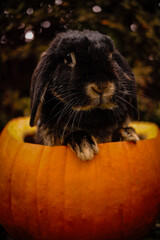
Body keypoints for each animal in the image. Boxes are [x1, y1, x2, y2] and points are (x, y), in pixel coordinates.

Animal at [29, 30, 139, 161]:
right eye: (68, 57)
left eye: (111, 55)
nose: (101, 86)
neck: (95, 114)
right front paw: (84, 146)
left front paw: (129, 134)